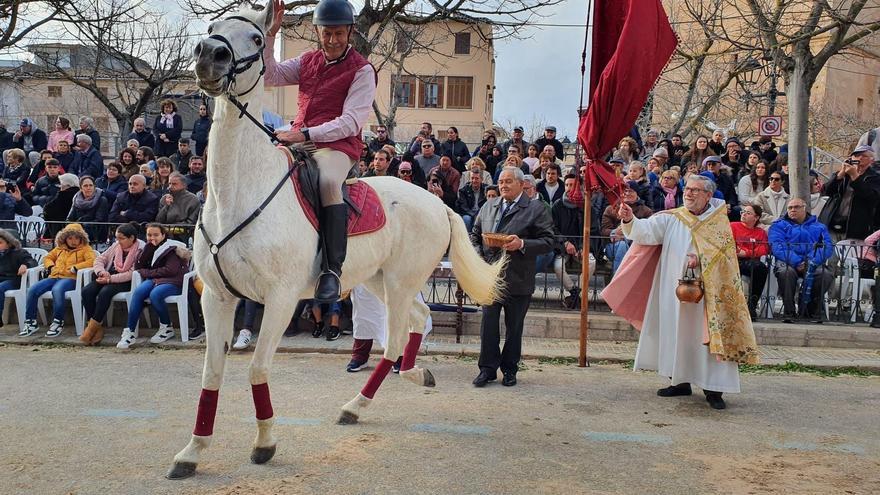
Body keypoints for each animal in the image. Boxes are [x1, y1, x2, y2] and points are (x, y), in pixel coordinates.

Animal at [168, 0, 506, 480]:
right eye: (213, 26)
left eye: (255, 37)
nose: (208, 56)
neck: (239, 193)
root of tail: (438, 204)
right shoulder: (216, 297)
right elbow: (211, 376)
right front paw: (192, 452)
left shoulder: (280, 298)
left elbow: (256, 369)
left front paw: (265, 443)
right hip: (380, 281)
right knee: (419, 321)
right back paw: (413, 376)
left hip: (398, 282)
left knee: (397, 340)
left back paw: (358, 403)